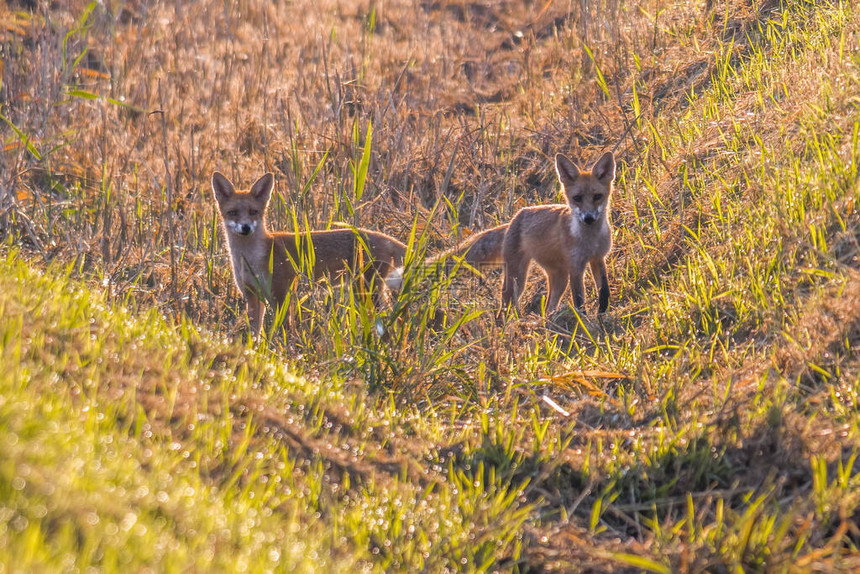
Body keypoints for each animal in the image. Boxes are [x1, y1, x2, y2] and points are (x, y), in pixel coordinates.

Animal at [211, 173, 406, 340]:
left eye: (253, 212)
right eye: (233, 212)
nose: (245, 227)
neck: (250, 260)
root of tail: (383, 237)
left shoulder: (281, 295)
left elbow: (285, 330)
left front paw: (285, 351)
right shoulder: (252, 297)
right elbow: (255, 335)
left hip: (365, 293)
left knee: (389, 321)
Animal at [500, 151, 616, 318]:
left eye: (597, 196)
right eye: (577, 198)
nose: (588, 218)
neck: (590, 241)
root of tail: (517, 215)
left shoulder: (598, 258)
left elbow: (604, 291)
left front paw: (602, 314)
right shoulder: (575, 266)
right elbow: (579, 300)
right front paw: (585, 321)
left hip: (560, 278)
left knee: (549, 306)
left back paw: (548, 320)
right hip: (517, 278)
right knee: (503, 306)